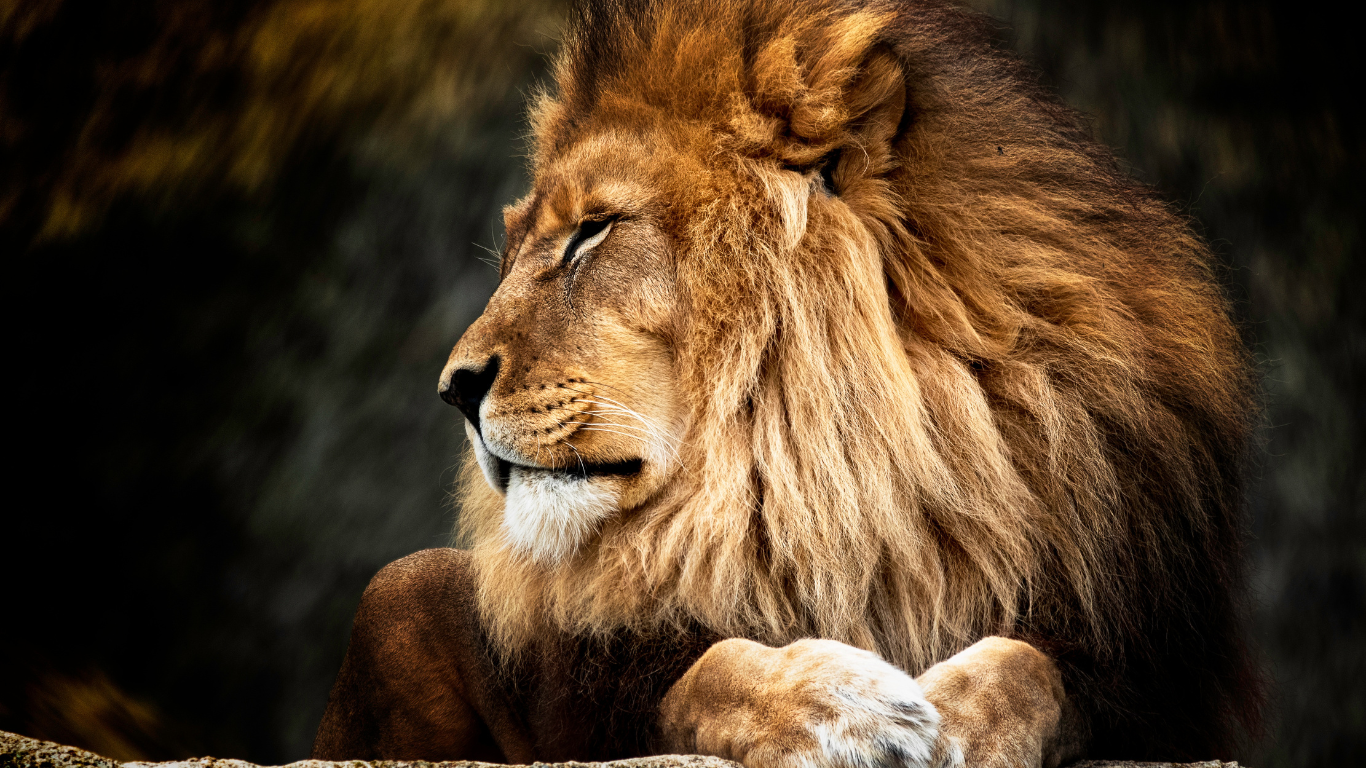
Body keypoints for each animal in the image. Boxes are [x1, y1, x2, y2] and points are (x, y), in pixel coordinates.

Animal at [312, 0, 1262, 765]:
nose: (455, 388)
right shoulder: (591, 685)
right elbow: (709, 669)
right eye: (516, 246)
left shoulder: (1148, 661)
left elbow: (1037, 670)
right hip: (398, 586)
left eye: (593, 230)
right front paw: (846, 707)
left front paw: (952, 723)